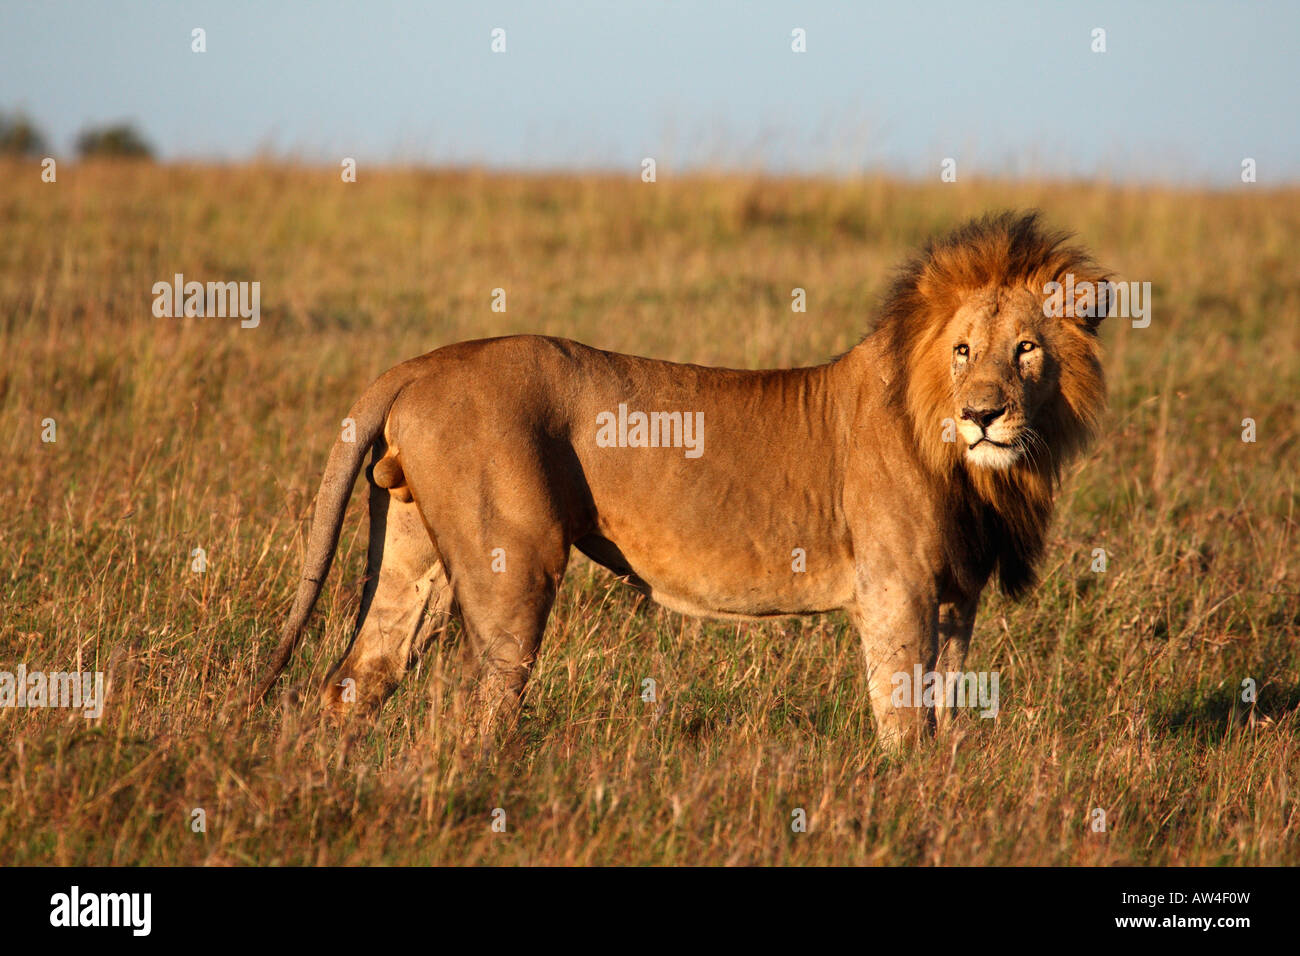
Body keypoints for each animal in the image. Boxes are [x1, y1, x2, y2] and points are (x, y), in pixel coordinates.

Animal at [250, 213, 1107, 749]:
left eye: (1027, 349)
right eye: (962, 350)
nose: (984, 415)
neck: (975, 469)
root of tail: (419, 364)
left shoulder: (957, 597)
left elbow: (945, 715)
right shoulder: (896, 589)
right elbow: (902, 720)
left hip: (412, 553)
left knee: (358, 676)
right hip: (514, 564)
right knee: (485, 702)